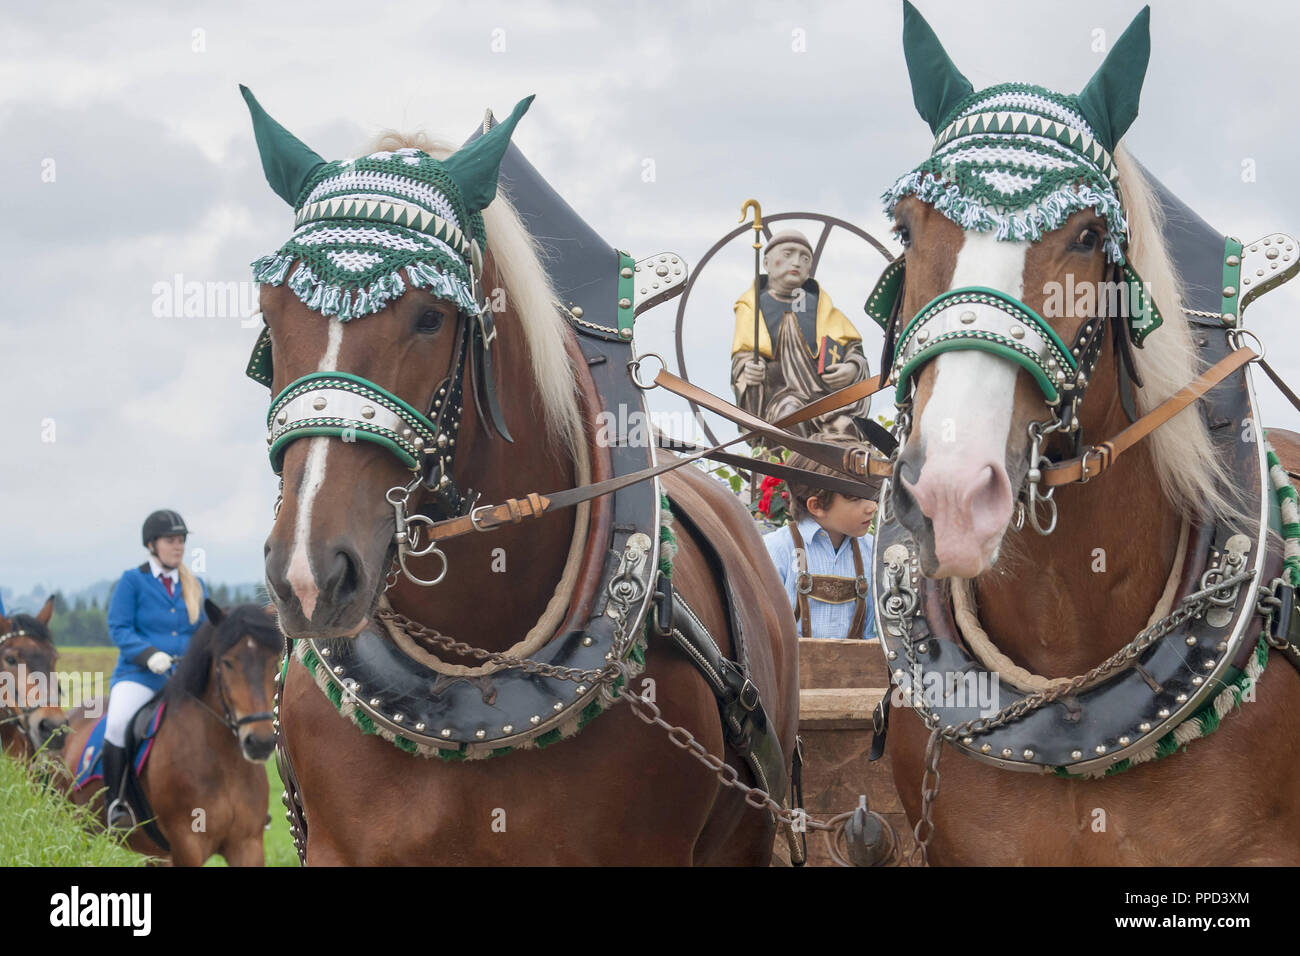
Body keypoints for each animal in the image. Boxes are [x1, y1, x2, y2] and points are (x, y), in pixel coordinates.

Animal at [60, 606, 279, 868]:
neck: (224, 764)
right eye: (227, 662)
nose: (260, 742)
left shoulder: (248, 845)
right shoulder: (187, 844)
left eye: (275, 661)